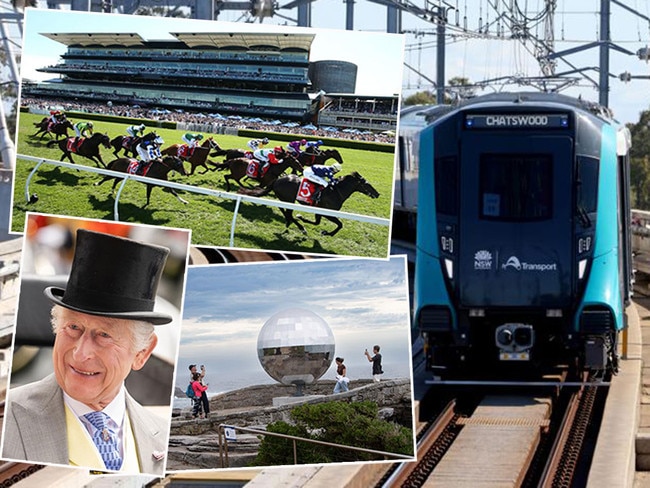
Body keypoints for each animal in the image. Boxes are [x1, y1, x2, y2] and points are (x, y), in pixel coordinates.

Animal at [238, 172, 380, 236]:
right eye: (367, 184)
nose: (377, 194)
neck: (336, 192)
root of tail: (277, 180)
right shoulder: (328, 213)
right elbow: (340, 224)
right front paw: (328, 233)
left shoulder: (319, 210)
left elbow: (317, 222)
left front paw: (303, 219)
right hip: (289, 199)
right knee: (288, 212)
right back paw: (300, 227)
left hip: (286, 199)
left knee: (284, 210)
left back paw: (290, 222)